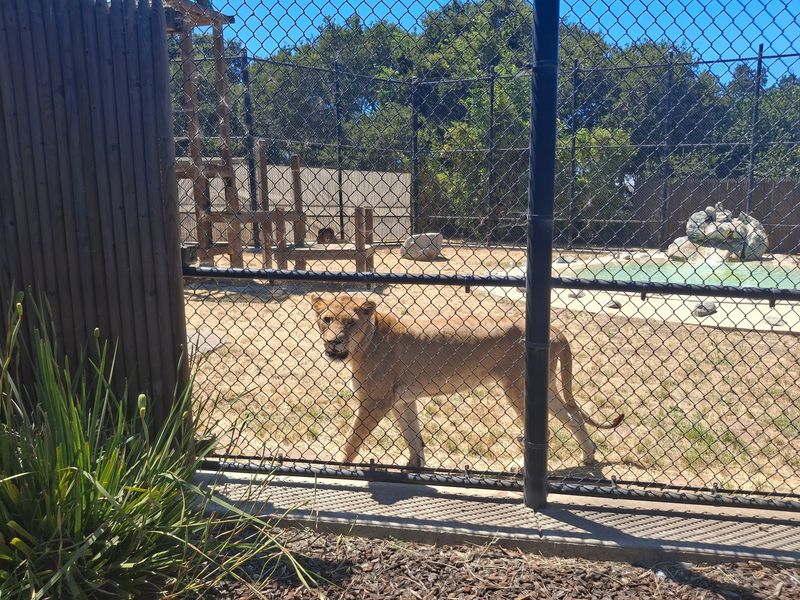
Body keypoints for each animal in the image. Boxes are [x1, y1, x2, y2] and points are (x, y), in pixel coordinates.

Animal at [311, 293, 623, 469]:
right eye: (326, 319)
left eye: (350, 322)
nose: (333, 341)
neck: (364, 344)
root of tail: (556, 328)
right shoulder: (402, 400)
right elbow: (413, 438)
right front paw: (414, 467)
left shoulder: (376, 400)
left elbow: (353, 438)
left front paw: (341, 468)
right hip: (545, 386)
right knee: (573, 416)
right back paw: (589, 456)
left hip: (519, 388)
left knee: (544, 428)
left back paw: (521, 467)